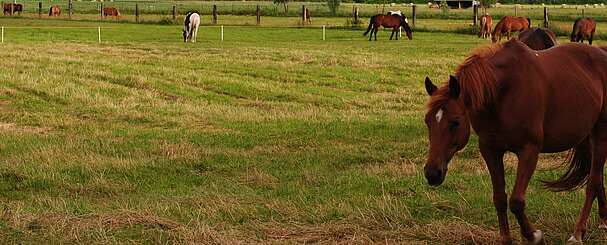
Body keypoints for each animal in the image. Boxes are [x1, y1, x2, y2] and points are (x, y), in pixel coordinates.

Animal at [422, 38, 607, 243]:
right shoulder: (490, 150)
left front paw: (534, 235)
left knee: (592, 183)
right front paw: (506, 239)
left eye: (455, 122)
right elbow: (499, 198)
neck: (503, 92)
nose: (432, 173)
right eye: (427, 121)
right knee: (597, 178)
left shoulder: (529, 150)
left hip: (601, 135)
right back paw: (603, 220)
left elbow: (516, 201)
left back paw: (577, 233)